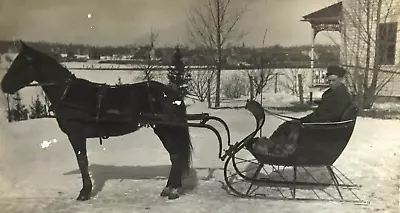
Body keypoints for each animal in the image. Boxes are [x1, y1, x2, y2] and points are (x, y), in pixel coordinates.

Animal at [0, 41, 194, 201]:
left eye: (20, 64)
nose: (4, 86)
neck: (68, 94)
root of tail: (173, 94)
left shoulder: (76, 136)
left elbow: (82, 162)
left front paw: (84, 193)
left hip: (165, 129)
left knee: (176, 156)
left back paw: (173, 190)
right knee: (176, 156)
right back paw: (170, 188)